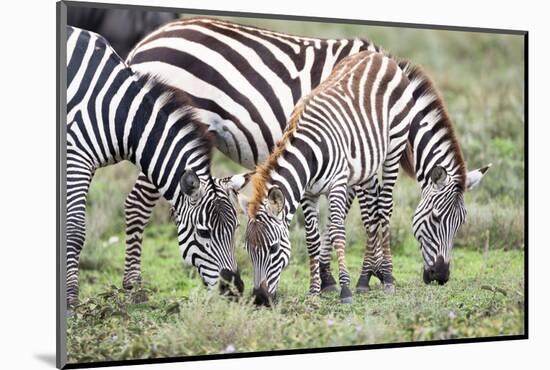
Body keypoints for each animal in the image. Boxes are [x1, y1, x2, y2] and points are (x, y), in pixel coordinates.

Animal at [63, 26, 248, 310]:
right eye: (203, 232)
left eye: (236, 227)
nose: (234, 290)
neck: (121, 117)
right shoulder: (77, 156)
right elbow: (74, 229)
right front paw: (71, 299)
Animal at [124, 17, 392, 294]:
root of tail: (146, 42)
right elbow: (370, 210)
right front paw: (371, 275)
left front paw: (331, 275)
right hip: (162, 135)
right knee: (137, 203)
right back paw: (133, 284)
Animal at [243, 52, 492, 306]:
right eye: (247, 249)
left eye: (273, 248)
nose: (260, 298)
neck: (309, 152)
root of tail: (378, 56)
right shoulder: (308, 193)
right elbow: (312, 238)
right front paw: (314, 291)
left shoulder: (338, 183)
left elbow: (338, 230)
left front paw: (345, 288)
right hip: (368, 159)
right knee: (373, 211)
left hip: (393, 148)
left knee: (384, 208)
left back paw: (388, 277)